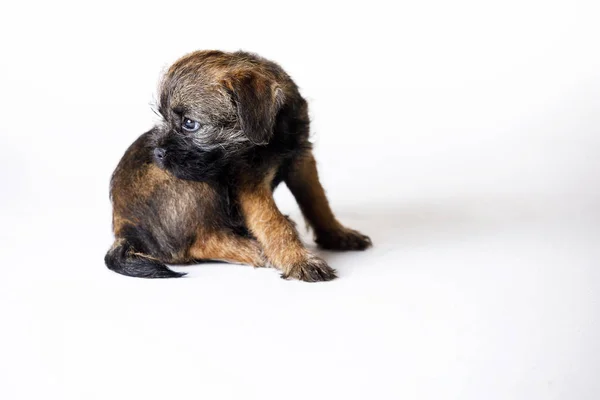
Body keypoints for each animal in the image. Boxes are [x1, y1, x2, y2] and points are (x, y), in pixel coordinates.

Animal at [106, 50, 372, 282]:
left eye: (190, 123)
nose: (158, 153)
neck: (275, 132)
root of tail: (124, 232)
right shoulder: (251, 183)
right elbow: (273, 223)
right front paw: (298, 260)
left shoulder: (301, 161)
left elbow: (317, 201)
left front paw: (337, 234)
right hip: (198, 183)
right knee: (201, 242)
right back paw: (254, 249)